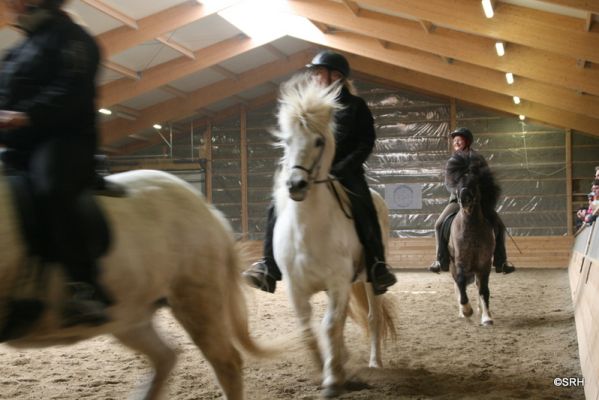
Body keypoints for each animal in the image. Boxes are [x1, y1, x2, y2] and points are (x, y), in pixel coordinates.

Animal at [445, 151, 500, 326]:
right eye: (457, 182)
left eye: (475, 182)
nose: (464, 199)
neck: (472, 229)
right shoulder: (460, 262)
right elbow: (461, 282)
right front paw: (466, 310)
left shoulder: (484, 263)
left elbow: (483, 289)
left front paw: (487, 317)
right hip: (453, 265)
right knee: (457, 284)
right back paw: (463, 312)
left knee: (477, 285)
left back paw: (480, 310)